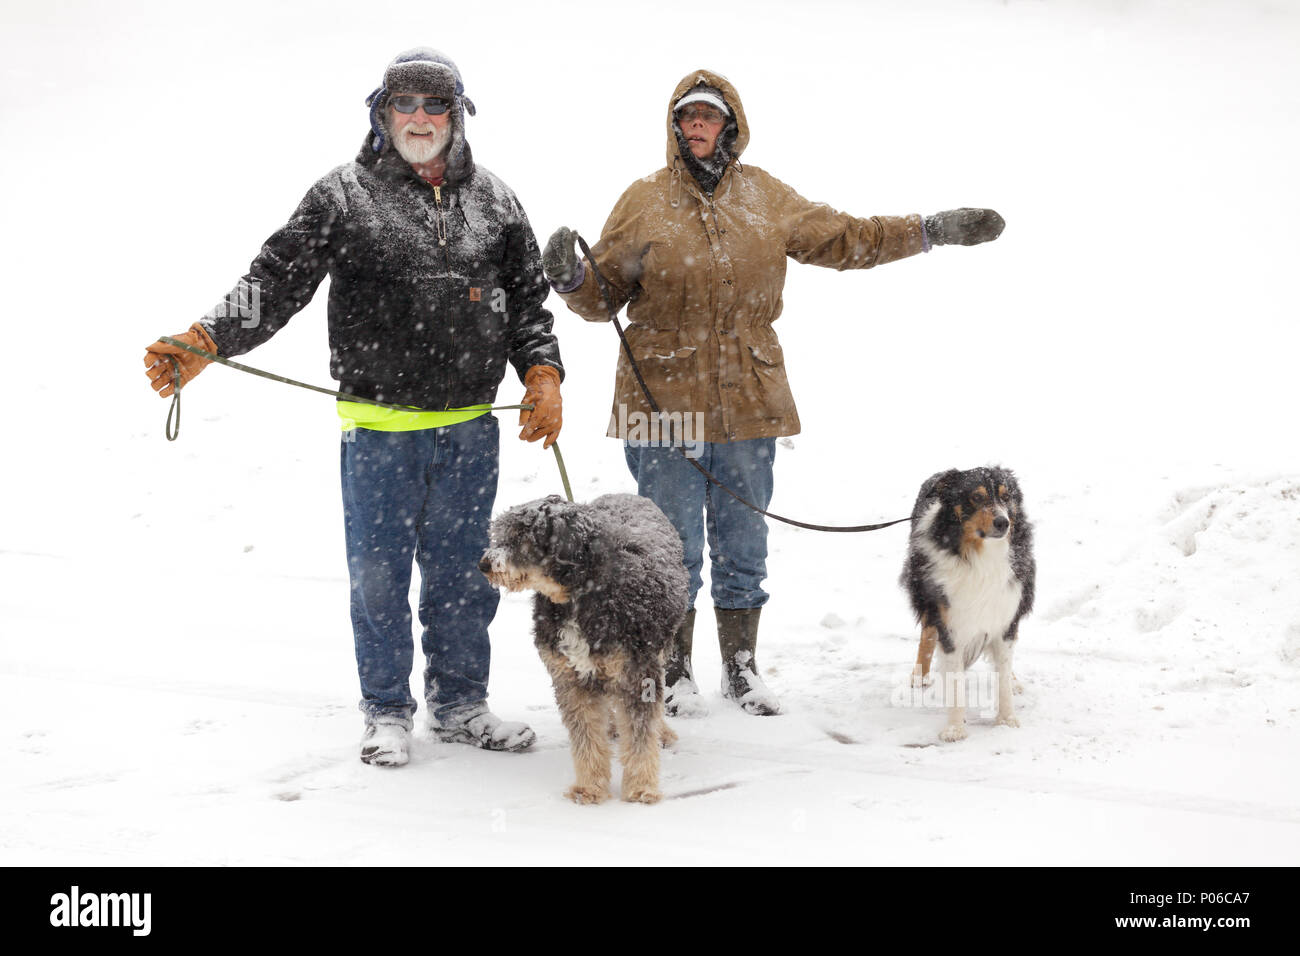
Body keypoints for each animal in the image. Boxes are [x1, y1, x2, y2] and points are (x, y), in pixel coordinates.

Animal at [483, 496, 691, 806]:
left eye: (523, 535)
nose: (484, 564)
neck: (579, 595)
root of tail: (630, 495)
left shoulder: (637, 673)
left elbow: (641, 737)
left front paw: (641, 788)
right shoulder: (571, 678)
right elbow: (587, 737)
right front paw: (589, 787)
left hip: (659, 652)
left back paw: (661, 732)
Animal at [904, 468, 1034, 743]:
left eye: (1006, 497)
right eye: (976, 497)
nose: (1003, 523)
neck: (980, 556)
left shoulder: (1005, 613)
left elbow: (1003, 671)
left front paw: (1006, 719)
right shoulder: (950, 619)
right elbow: (954, 678)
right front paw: (955, 729)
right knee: (927, 634)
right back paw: (919, 677)